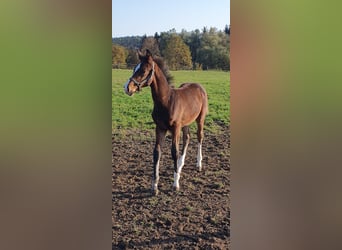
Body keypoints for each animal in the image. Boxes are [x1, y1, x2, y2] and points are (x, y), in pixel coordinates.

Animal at [123, 49, 208, 195]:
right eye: (134, 69)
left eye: (143, 71)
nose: (127, 88)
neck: (166, 101)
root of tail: (198, 86)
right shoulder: (160, 128)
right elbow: (157, 152)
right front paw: (154, 186)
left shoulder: (175, 128)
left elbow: (174, 152)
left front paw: (175, 184)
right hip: (185, 123)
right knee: (187, 137)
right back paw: (180, 165)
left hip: (200, 119)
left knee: (199, 137)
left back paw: (198, 164)